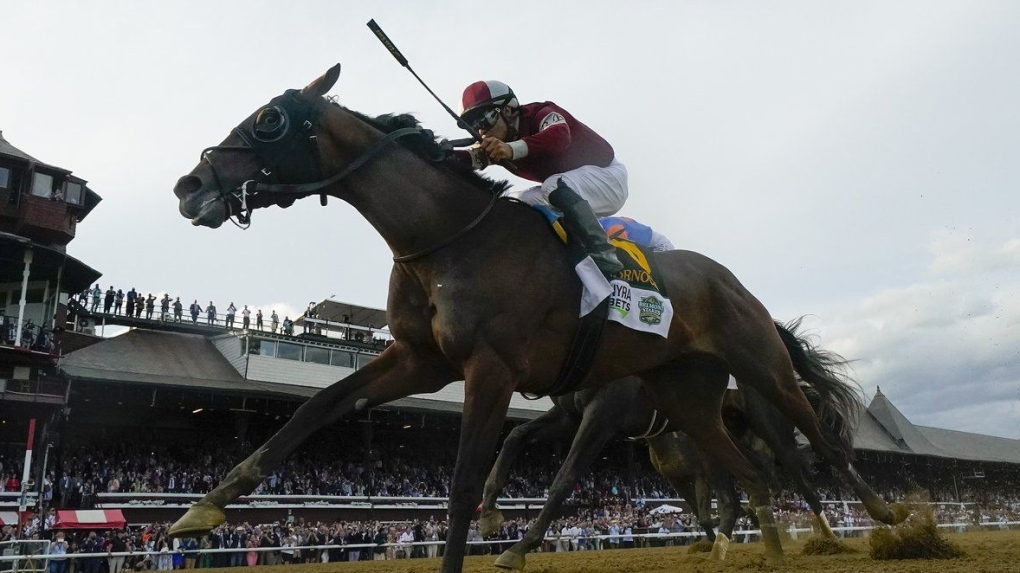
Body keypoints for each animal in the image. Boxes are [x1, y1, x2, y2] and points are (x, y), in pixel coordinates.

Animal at [169, 64, 909, 566]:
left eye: (269, 119)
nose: (189, 184)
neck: (448, 236)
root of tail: (728, 279)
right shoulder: (418, 358)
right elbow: (316, 407)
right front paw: (203, 507)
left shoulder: (494, 370)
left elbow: (471, 482)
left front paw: (495, 540)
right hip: (688, 395)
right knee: (748, 474)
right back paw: (764, 547)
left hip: (761, 370)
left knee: (816, 444)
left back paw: (885, 516)